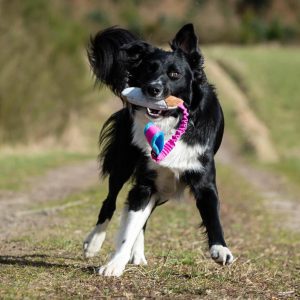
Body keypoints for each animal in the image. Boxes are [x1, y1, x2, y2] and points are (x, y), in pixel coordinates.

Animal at [82, 23, 234, 276]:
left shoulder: (203, 178)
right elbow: (129, 225)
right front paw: (114, 264)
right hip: (124, 163)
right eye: (148, 70)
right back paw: (94, 242)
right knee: (110, 202)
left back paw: (137, 254)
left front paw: (220, 249)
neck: (171, 121)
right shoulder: (146, 183)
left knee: (143, 217)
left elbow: (212, 215)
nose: (152, 89)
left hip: (166, 188)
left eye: (175, 74)